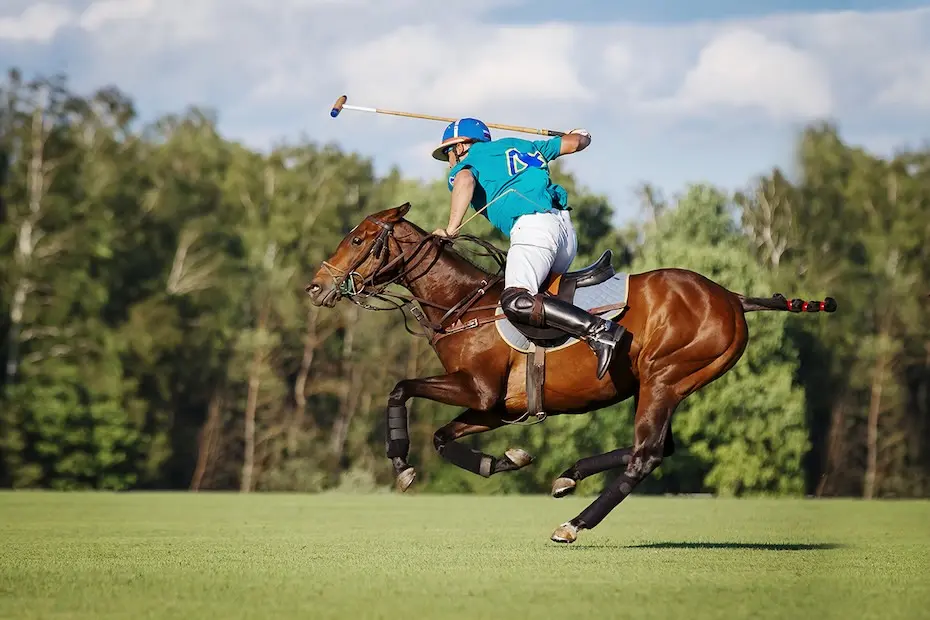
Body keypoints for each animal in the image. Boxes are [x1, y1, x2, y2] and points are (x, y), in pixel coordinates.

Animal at [304, 205, 832, 544]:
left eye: (357, 239)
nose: (316, 286)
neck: (464, 305)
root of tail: (732, 298)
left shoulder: (477, 389)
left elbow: (399, 390)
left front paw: (401, 464)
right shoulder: (495, 407)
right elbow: (441, 437)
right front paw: (505, 460)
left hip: (664, 377)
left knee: (645, 456)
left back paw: (573, 525)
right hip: (670, 384)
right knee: (658, 448)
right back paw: (568, 476)